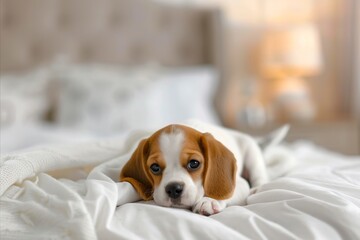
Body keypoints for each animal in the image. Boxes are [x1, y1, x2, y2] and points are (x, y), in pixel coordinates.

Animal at [119, 124, 286, 216]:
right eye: (155, 167)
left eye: (194, 163)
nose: (173, 189)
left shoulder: (240, 183)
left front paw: (210, 200)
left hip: (252, 153)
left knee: (259, 176)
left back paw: (257, 189)